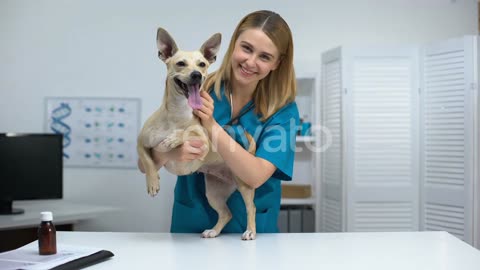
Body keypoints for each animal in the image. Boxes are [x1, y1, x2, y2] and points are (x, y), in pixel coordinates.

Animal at [138, 28, 258, 240]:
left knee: (251, 208)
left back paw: (250, 231)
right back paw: (214, 231)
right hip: (214, 193)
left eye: (202, 64)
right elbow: (148, 161)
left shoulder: (204, 140)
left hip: (244, 184)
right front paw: (152, 183)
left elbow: (190, 132)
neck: (177, 114)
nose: (196, 75)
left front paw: (174, 138)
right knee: (226, 213)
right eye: (180, 63)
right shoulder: (141, 143)